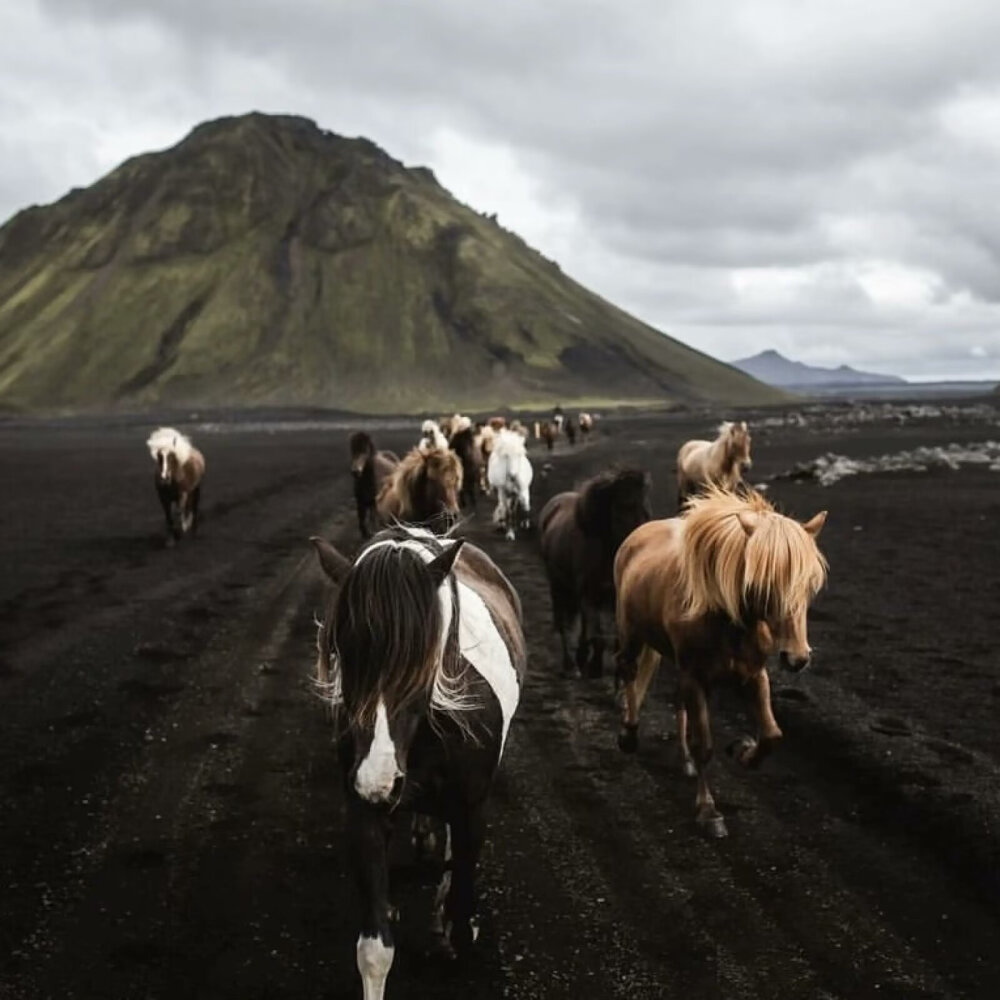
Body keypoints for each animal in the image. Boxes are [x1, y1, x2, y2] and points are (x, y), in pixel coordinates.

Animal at [312, 528, 528, 996]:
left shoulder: (471, 811)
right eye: (343, 653)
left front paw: (451, 926)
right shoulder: (364, 810)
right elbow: (374, 951)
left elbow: (462, 917)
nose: (376, 780)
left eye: (422, 661)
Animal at [540, 470, 648, 680]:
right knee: (563, 624)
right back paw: (570, 665)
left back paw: (581, 657)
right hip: (558, 587)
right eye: (624, 506)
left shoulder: (613, 599)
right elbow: (598, 638)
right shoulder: (589, 596)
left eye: (644, 506)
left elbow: (615, 640)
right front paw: (595, 667)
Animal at [616, 488, 828, 840]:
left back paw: (684, 760)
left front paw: (743, 750)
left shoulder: (753, 675)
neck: (728, 620)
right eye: (764, 583)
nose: (797, 658)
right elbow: (705, 745)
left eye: (810, 585)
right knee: (628, 672)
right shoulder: (695, 676)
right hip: (632, 634)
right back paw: (629, 735)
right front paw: (708, 811)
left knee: (676, 701)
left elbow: (772, 735)